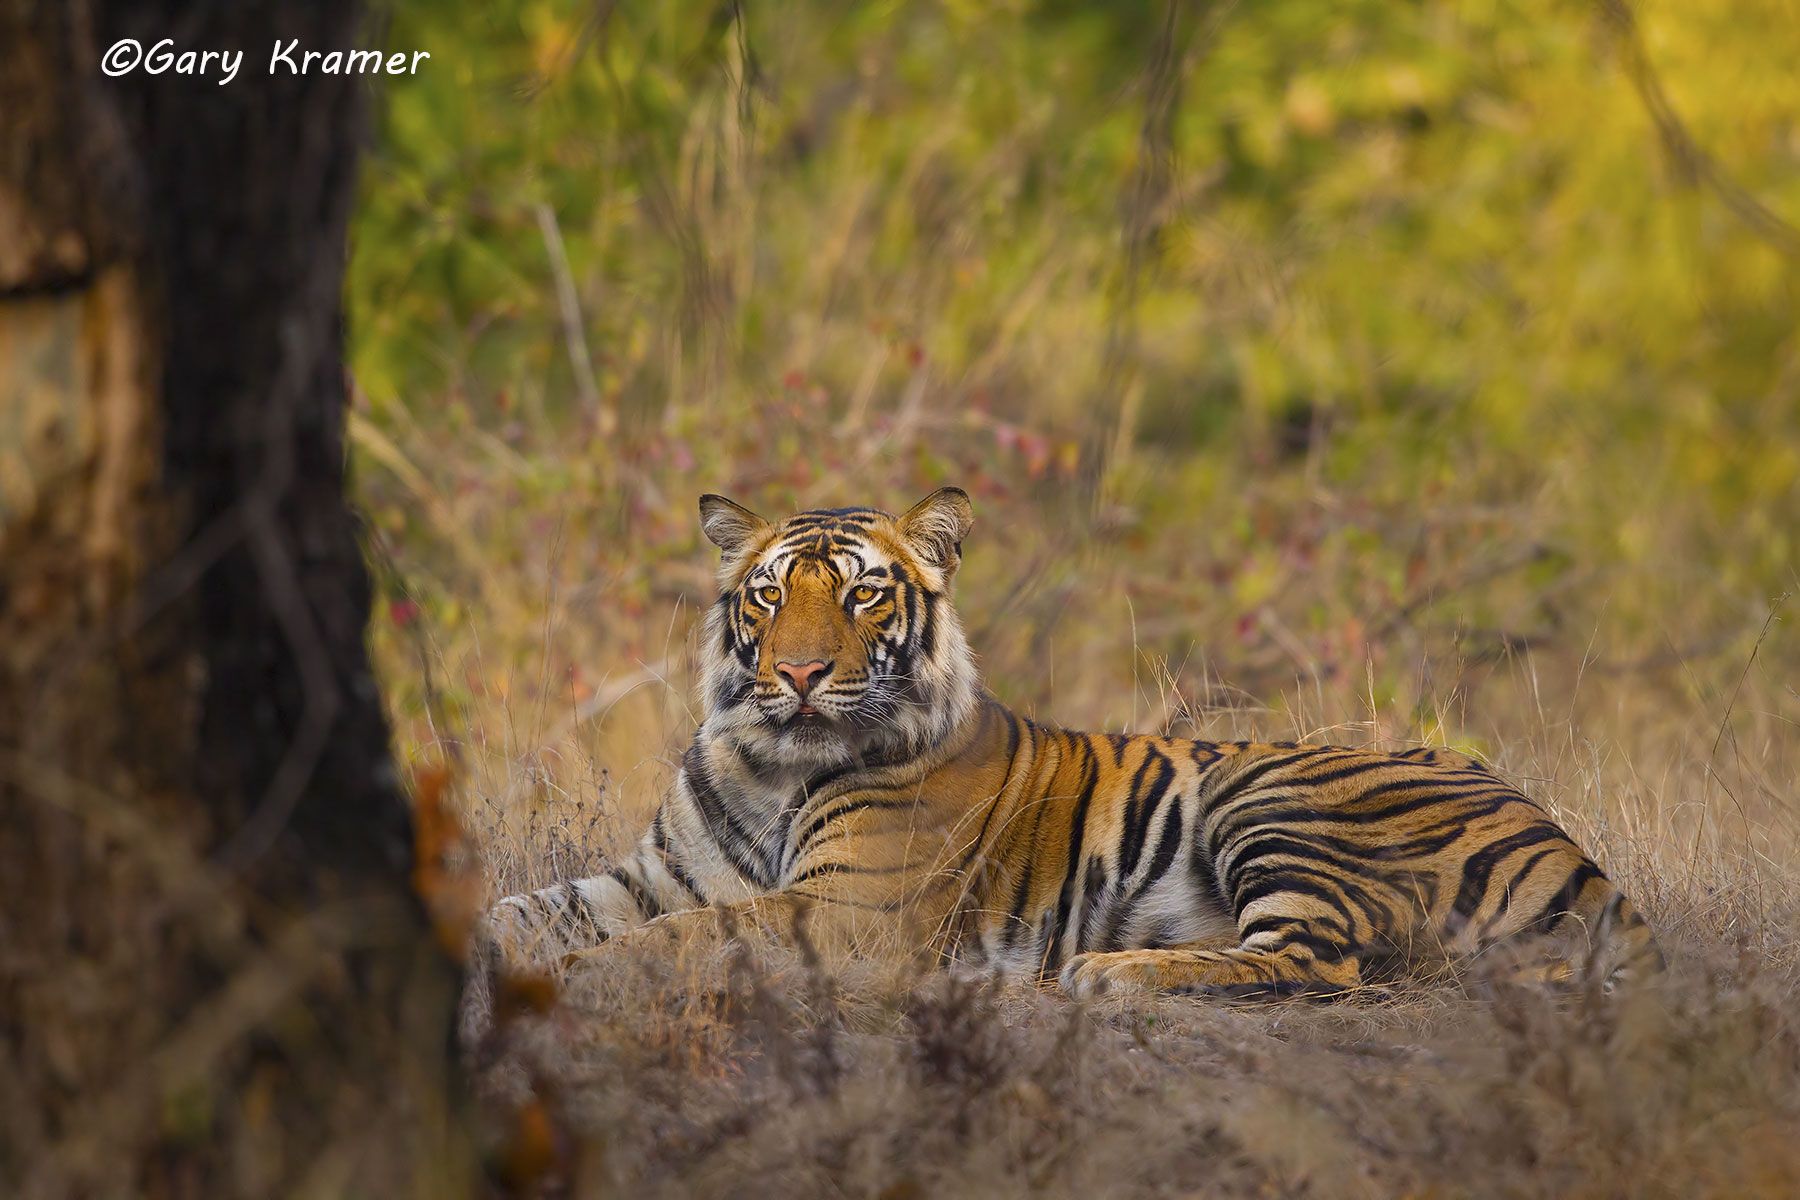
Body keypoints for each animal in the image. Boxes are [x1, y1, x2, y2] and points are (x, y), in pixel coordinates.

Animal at [480, 487, 1661, 1001]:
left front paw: (579, 976)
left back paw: (1103, 971)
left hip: (1272, 792)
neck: (773, 761)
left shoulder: (847, 913)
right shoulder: (655, 874)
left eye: (862, 594)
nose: (800, 676)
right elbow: (525, 908)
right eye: (769, 595)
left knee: (1322, 960)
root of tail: (1562, 834)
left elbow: (683, 937)